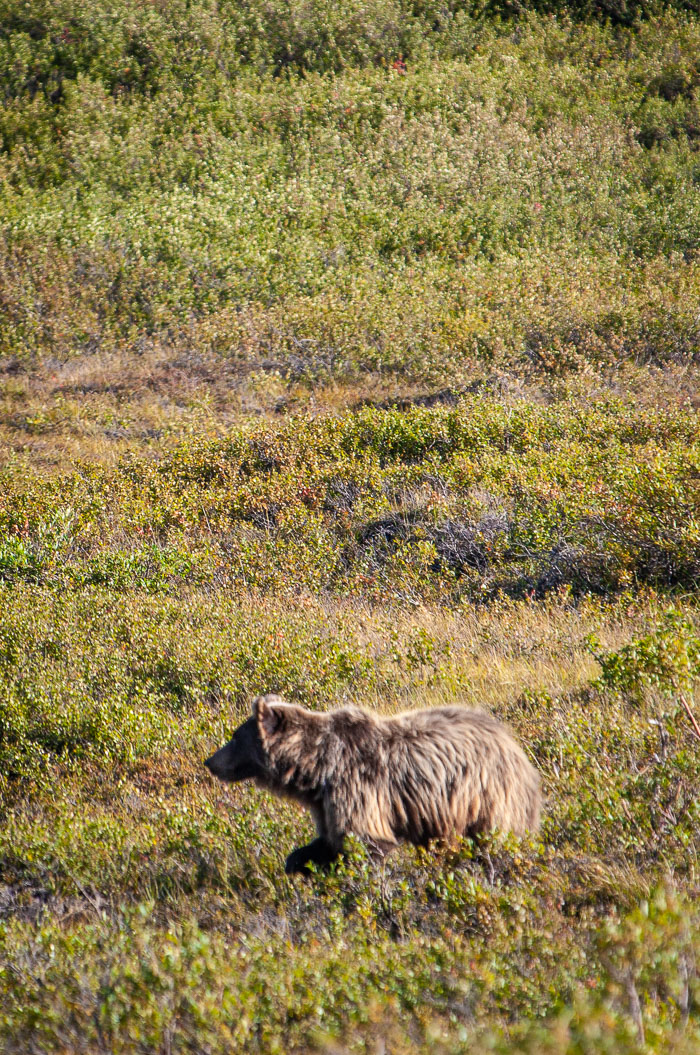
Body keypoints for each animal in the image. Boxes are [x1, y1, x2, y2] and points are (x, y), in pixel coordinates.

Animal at [202, 692, 539, 873]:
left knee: (493, 838)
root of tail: (517, 748)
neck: (317, 768)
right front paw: (297, 862)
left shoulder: (357, 786)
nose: (210, 762)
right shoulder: (325, 802)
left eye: (234, 737)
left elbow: (365, 840)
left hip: (486, 793)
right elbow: (330, 841)